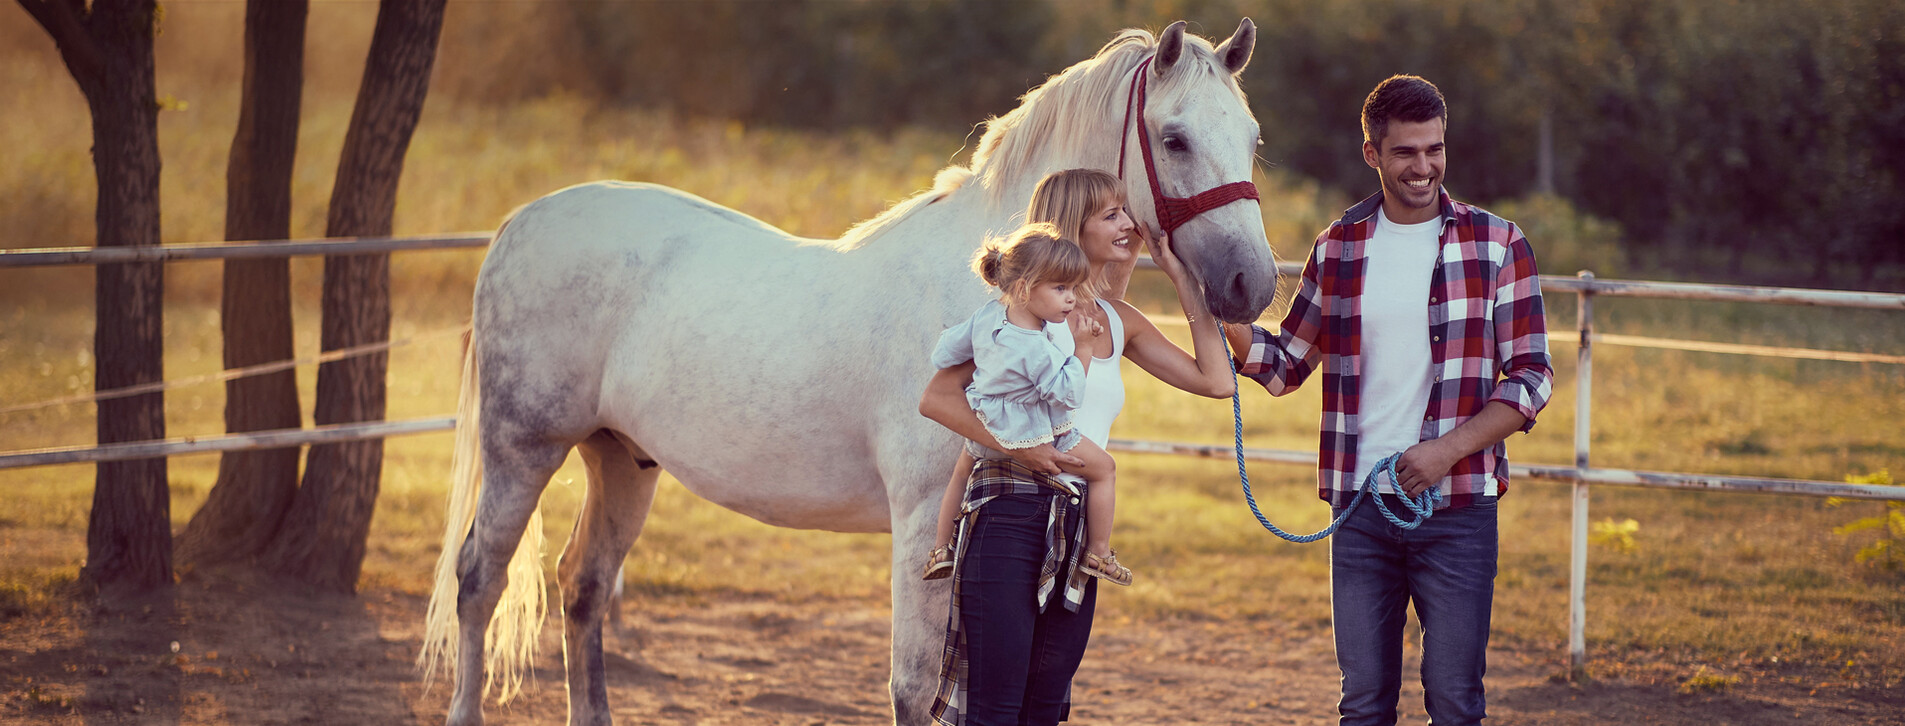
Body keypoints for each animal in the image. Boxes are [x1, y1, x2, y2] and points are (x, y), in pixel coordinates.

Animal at [421, 19, 1280, 720]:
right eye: (1174, 139)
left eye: (1250, 136)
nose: (1251, 286)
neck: (997, 286)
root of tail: (521, 221)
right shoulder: (928, 522)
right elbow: (915, 688)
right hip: (523, 448)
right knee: (478, 580)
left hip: (621, 459)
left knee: (583, 587)